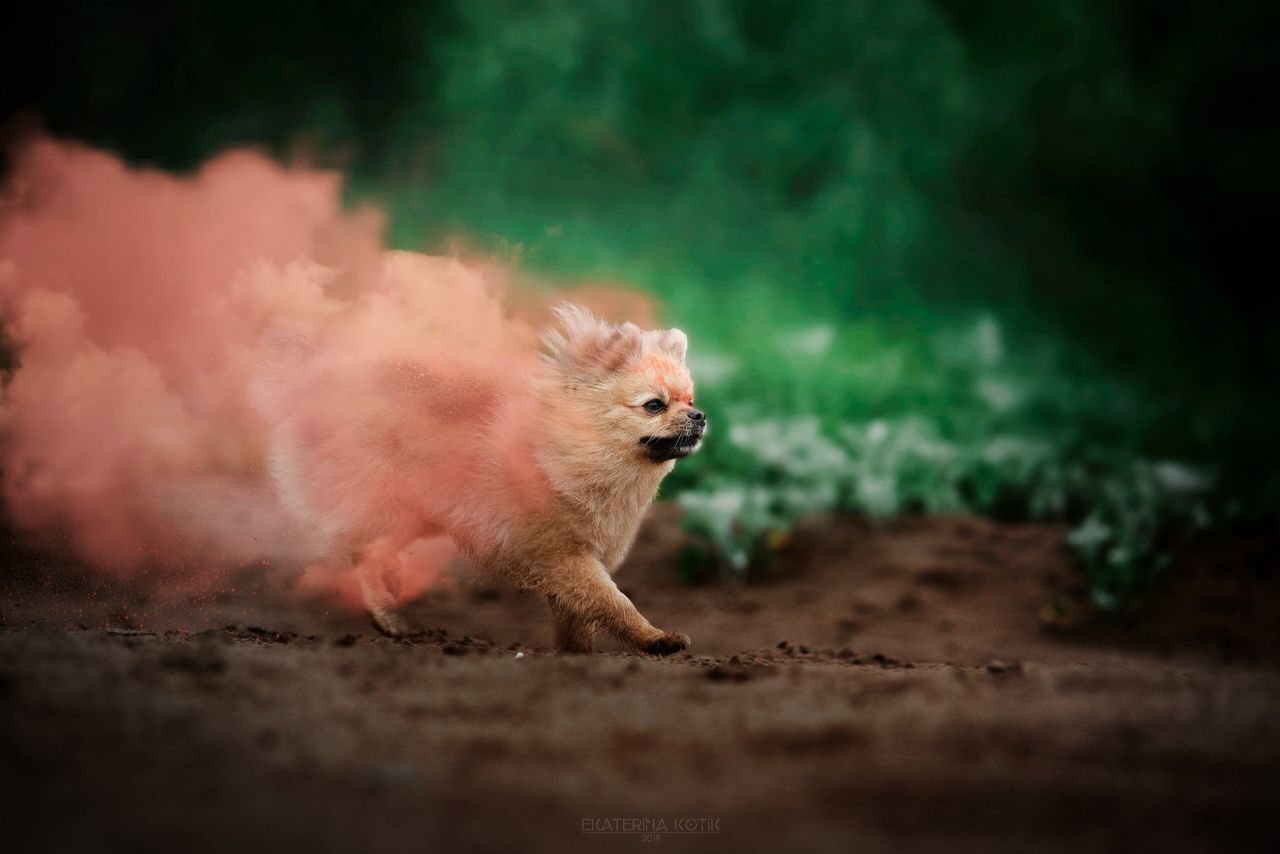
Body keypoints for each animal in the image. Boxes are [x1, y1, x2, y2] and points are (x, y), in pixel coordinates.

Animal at [254, 306, 706, 655]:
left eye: (689, 400)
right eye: (654, 406)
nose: (700, 416)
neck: (567, 448)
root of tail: (318, 384)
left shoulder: (572, 560)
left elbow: (578, 617)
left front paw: (576, 657)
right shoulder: (562, 555)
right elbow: (612, 602)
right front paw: (655, 639)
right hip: (392, 507)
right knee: (362, 553)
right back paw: (385, 613)